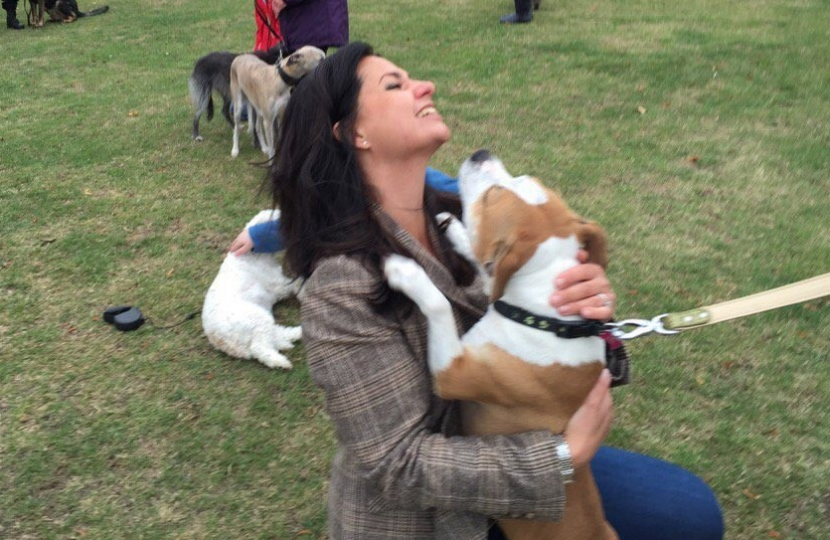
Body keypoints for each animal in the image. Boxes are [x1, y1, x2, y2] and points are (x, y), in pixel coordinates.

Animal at [203, 209, 304, 370]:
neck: (253, 254)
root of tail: (216, 337)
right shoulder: (279, 284)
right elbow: (297, 283)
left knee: (274, 334)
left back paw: (296, 334)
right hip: (256, 319)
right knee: (260, 348)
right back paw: (280, 361)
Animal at [386, 149, 616, 540]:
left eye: (492, 196)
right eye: (526, 179)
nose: (481, 153)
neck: (545, 317)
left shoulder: (451, 371)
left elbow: (440, 303)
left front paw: (407, 273)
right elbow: (484, 264)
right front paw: (455, 230)